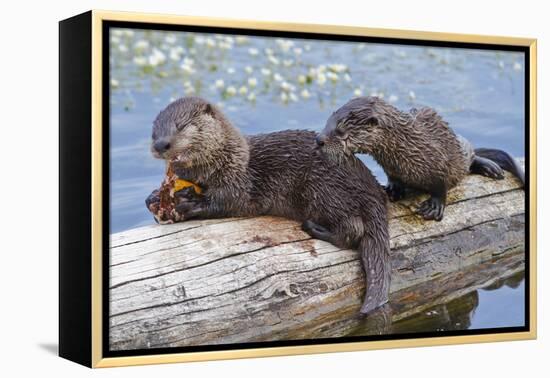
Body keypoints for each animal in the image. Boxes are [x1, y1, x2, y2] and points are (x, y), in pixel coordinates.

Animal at [144, 96, 390, 314]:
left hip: (325, 190)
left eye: (181, 126)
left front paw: (191, 203)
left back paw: (315, 228)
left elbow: (227, 201)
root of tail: (372, 189)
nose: (161, 144)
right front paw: (154, 198)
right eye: (154, 131)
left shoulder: (238, 181)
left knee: (353, 230)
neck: (225, 159)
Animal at [316, 97, 528, 220]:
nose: (319, 140)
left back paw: (490, 167)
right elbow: (394, 179)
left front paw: (435, 206)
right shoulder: (391, 168)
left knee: (471, 154)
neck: (406, 148)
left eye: (341, 131)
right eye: (327, 123)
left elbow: (441, 185)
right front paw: (392, 189)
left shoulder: (439, 160)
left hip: (459, 150)